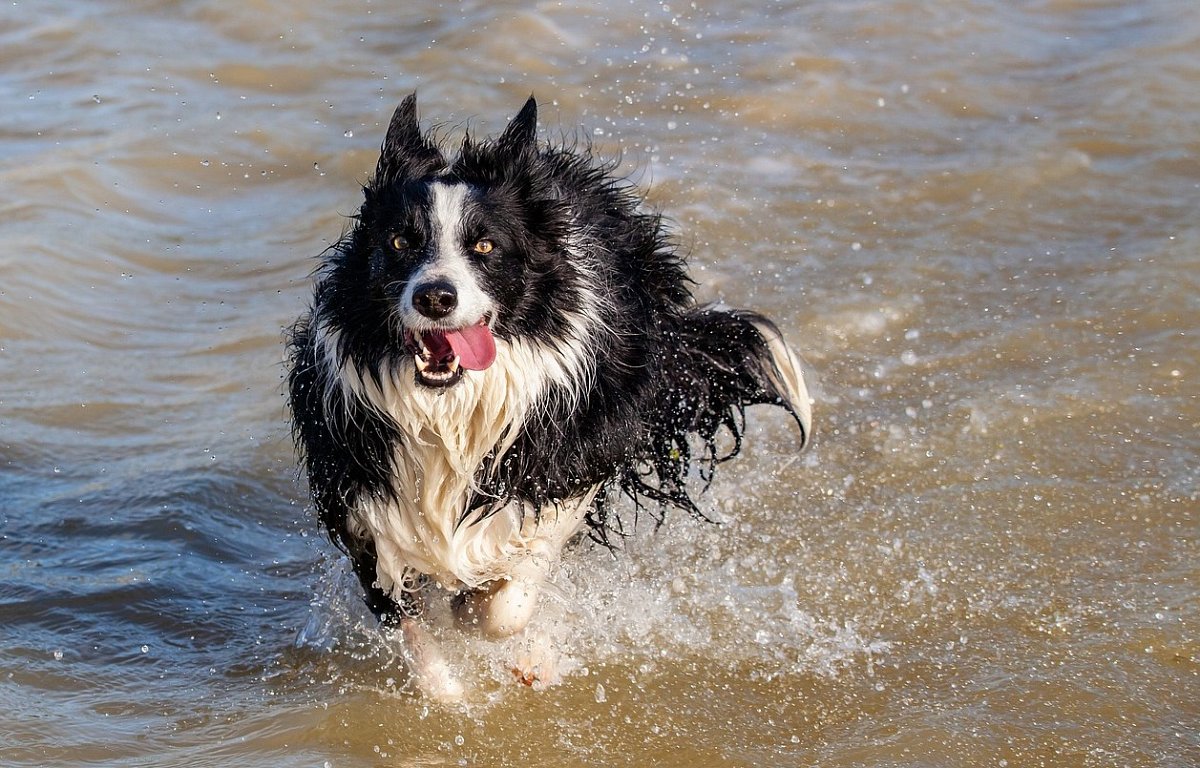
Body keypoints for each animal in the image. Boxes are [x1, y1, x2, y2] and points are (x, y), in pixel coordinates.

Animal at [288, 93, 816, 700]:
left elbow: (511, 594)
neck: (450, 408)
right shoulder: (365, 502)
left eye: (485, 245)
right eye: (400, 242)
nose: (435, 297)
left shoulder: (569, 463)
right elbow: (409, 621)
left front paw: (497, 625)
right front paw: (451, 691)